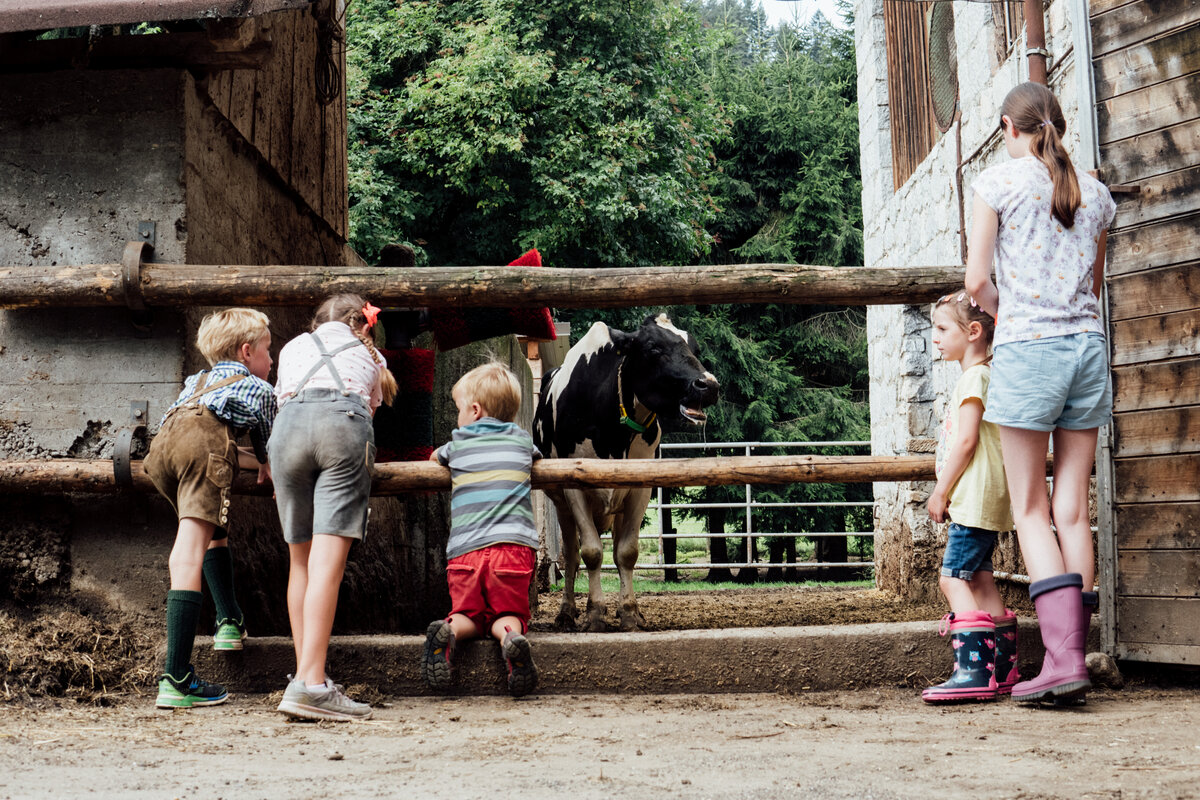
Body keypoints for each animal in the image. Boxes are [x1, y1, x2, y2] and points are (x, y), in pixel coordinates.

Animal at [534, 313, 720, 631]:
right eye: (654, 348)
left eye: (694, 348)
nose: (708, 385)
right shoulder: (574, 487)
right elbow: (591, 552)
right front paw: (595, 613)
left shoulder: (639, 486)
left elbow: (627, 552)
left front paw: (630, 612)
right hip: (560, 503)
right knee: (571, 555)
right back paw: (567, 612)